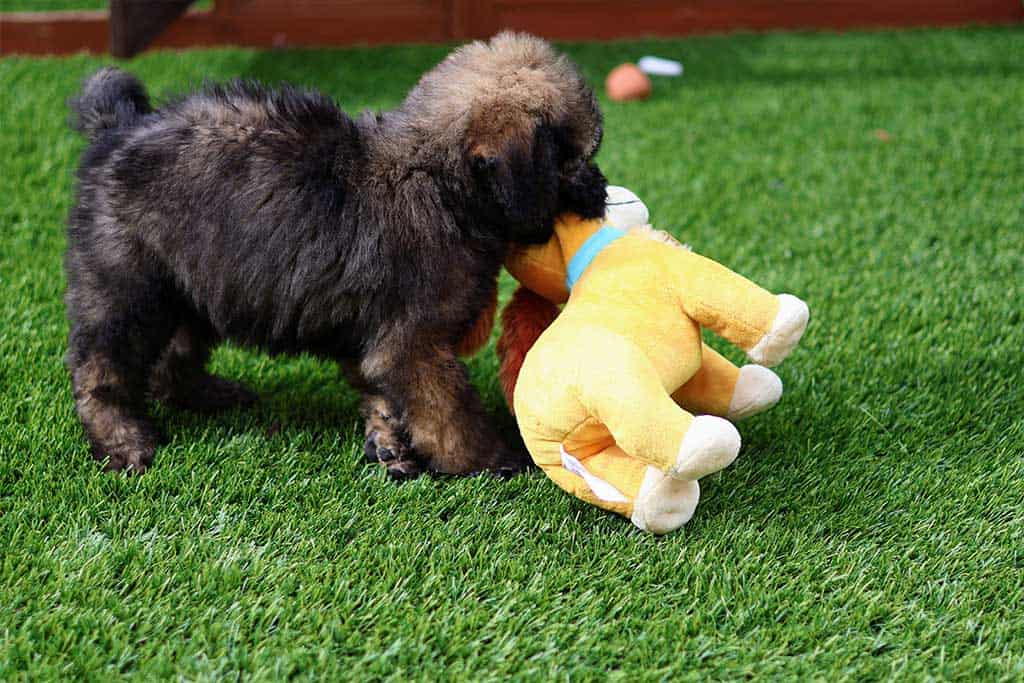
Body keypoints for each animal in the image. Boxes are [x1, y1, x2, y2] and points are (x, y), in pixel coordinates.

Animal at [66, 31, 606, 479]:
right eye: (577, 159)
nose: (602, 191)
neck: (437, 179)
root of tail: (116, 128)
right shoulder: (413, 343)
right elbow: (449, 412)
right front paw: (489, 457)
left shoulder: (373, 333)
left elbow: (381, 393)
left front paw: (389, 445)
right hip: (126, 287)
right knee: (99, 370)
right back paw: (123, 440)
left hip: (195, 282)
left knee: (173, 356)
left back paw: (207, 393)